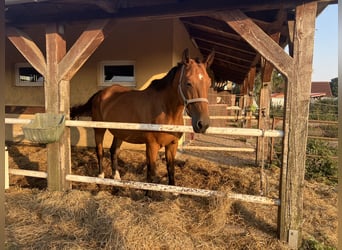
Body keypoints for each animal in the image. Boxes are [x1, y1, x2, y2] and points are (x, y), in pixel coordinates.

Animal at [70, 49, 214, 186]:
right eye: (188, 82)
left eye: (208, 83)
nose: (203, 124)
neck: (167, 111)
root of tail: (101, 93)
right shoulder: (152, 146)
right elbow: (151, 174)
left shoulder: (172, 145)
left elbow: (171, 170)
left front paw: (173, 190)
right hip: (99, 130)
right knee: (100, 151)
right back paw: (100, 176)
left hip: (119, 132)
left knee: (113, 150)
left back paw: (116, 176)